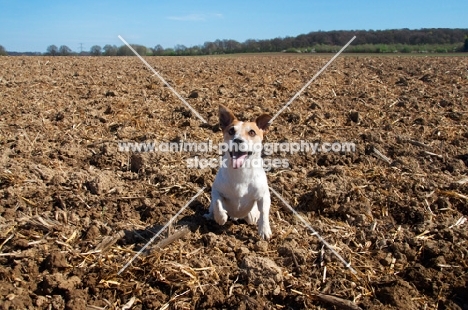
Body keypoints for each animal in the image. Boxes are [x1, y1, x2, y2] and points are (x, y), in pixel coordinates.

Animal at [206, 104, 274, 240]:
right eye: (231, 131)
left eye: (252, 132)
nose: (237, 140)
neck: (241, 172)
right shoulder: (216, 189)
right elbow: (217, 202)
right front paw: (221, 217)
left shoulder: (264, 195)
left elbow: (264, 212)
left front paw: (264, 230)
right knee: (212, 208)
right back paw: (211, 216)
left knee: (252, 217)